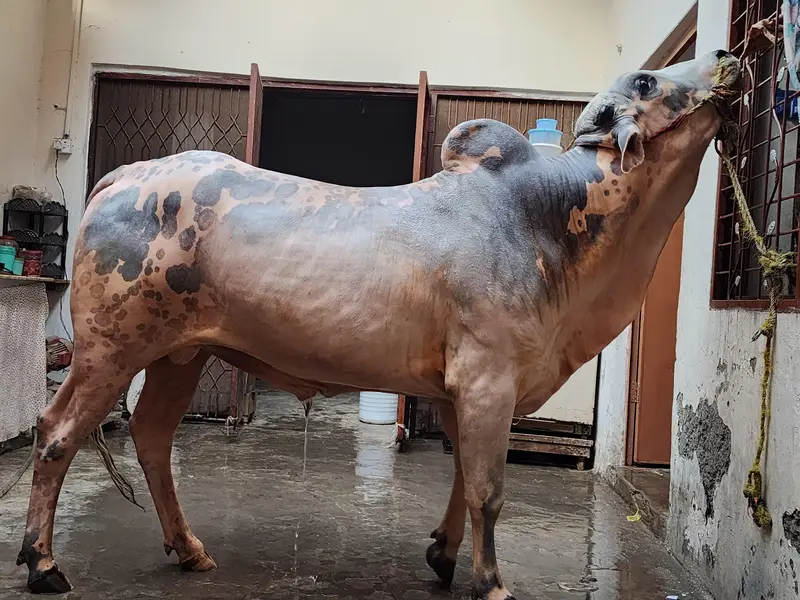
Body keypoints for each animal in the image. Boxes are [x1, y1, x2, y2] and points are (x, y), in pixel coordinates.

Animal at [17, 50, 740, 598]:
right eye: (646, 80)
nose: (729, 56)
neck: (550, 221)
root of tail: (123, 176)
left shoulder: (461, 389)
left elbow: (462, 479)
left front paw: (444, 557)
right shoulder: (488, 379)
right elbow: (487, 489)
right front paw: (491, 583)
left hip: (180, 354)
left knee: (152, 436)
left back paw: (189, 549)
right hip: (110, 349)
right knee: (56, 434)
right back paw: (44, 563)